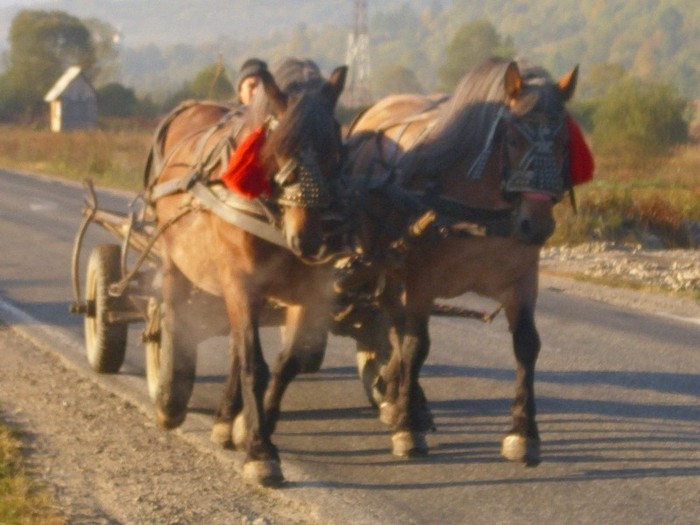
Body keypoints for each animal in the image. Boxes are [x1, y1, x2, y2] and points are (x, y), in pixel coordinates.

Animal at [146, 58, 348, 488]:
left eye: (334, 149)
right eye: (278, 147)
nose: (309, 241)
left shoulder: (311, 290)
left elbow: (286, 363)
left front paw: (257, 428)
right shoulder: (241, 281)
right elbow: (255, 364)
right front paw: (259, 451)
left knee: (235, 347)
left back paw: (226, 418)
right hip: (176, 257)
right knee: (175, 316)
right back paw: (170, 401)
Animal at [342, 56, 576, 462]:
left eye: (565, 142)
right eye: (512, 139)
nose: (537, 226)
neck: (477, 212)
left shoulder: (521, 282)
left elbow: (527, 346)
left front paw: (523, 433)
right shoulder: (422, 281)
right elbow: (415, 345)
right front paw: (407, 429)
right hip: (386, 263)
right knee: (395, 326)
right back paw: (401, 400)